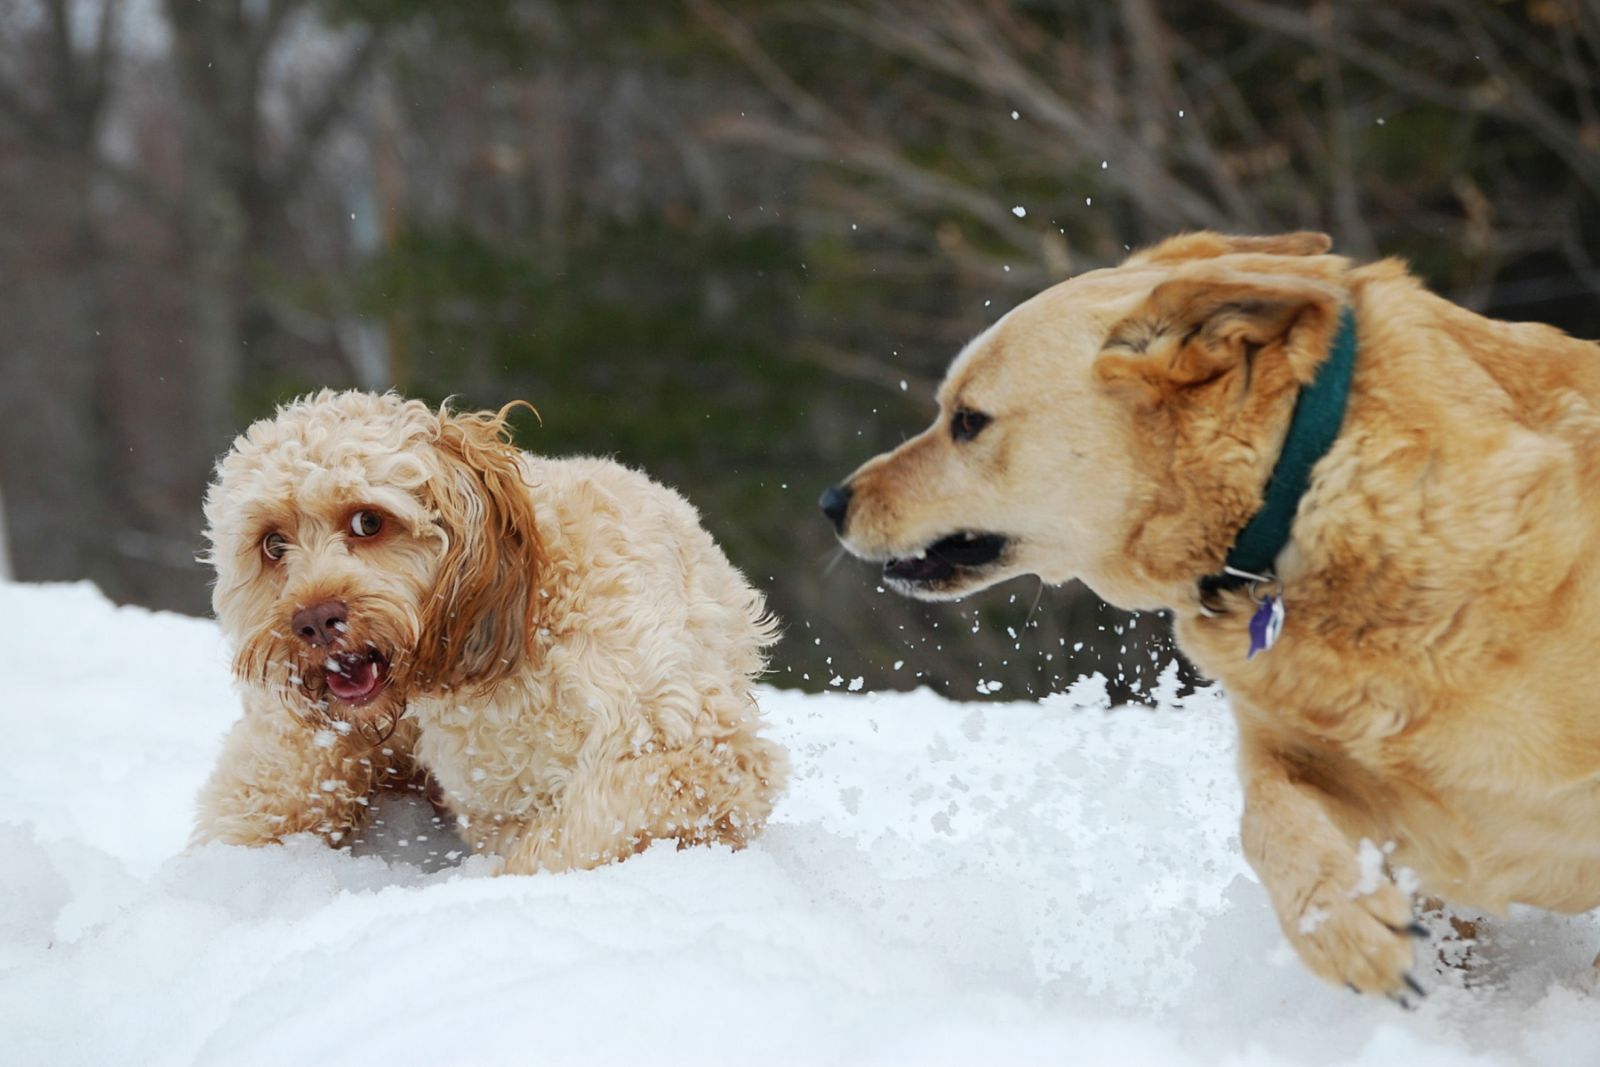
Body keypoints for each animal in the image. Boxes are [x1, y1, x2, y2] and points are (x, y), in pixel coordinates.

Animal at [193, 391, 787, 876]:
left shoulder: (698, 750)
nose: (314, 621)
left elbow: (577, 832)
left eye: (368, 521)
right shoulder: (497, 803)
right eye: (273, 545)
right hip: (304, 764)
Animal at [825, 230, 1600, 998]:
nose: (834, 502)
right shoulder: (1318, 769)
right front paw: (1344, 927)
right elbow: (1263, 818)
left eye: (968, 421)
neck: (1298, 489)